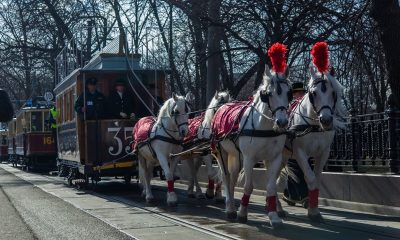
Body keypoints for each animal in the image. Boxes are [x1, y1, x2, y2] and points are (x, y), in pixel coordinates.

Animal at [212, 43, 290, 229]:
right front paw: (242, 213)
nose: (282, 122)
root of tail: (223, 106)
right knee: (226, 177)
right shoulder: (249, 158)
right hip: (222, 152)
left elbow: (271, 187)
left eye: (288, 93)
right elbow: (248, 186)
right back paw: (230, 208)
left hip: (236, 155)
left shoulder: (274, 158)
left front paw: (274, 216)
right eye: (268, 94)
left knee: (232, 178)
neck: (264, 126)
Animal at [278, 42, 346, 222]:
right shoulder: (300, 153)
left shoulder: (323, 153)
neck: (314, 126)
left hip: (282, 156)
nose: (326, 120)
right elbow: (310, 178)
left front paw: (313, 208)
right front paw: (312, 211)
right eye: (314, 93)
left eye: (333, 92)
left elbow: (317, 179)